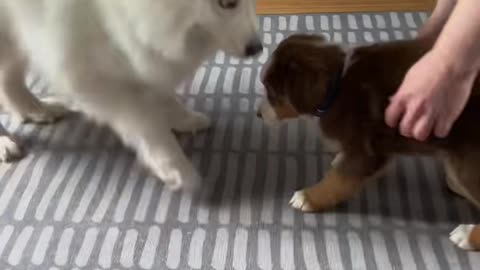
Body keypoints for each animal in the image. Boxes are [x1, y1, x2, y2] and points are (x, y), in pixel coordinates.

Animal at [0, 0, 262, 189]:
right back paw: (6, 142)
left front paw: (182, 118)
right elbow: (144, 120)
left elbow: (158, 89)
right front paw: (175, 164)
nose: (257, 48)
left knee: (9, 77)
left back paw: (34, 109)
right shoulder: (86, 67)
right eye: (228, 3)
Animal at [258, 33, 480, 251]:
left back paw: (467, 235)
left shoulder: (365, 151)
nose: (258, 114)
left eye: (272, 93)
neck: (337, 84)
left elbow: (337, 180)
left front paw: (308, 197)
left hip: (467, 162)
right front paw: (338, 158)